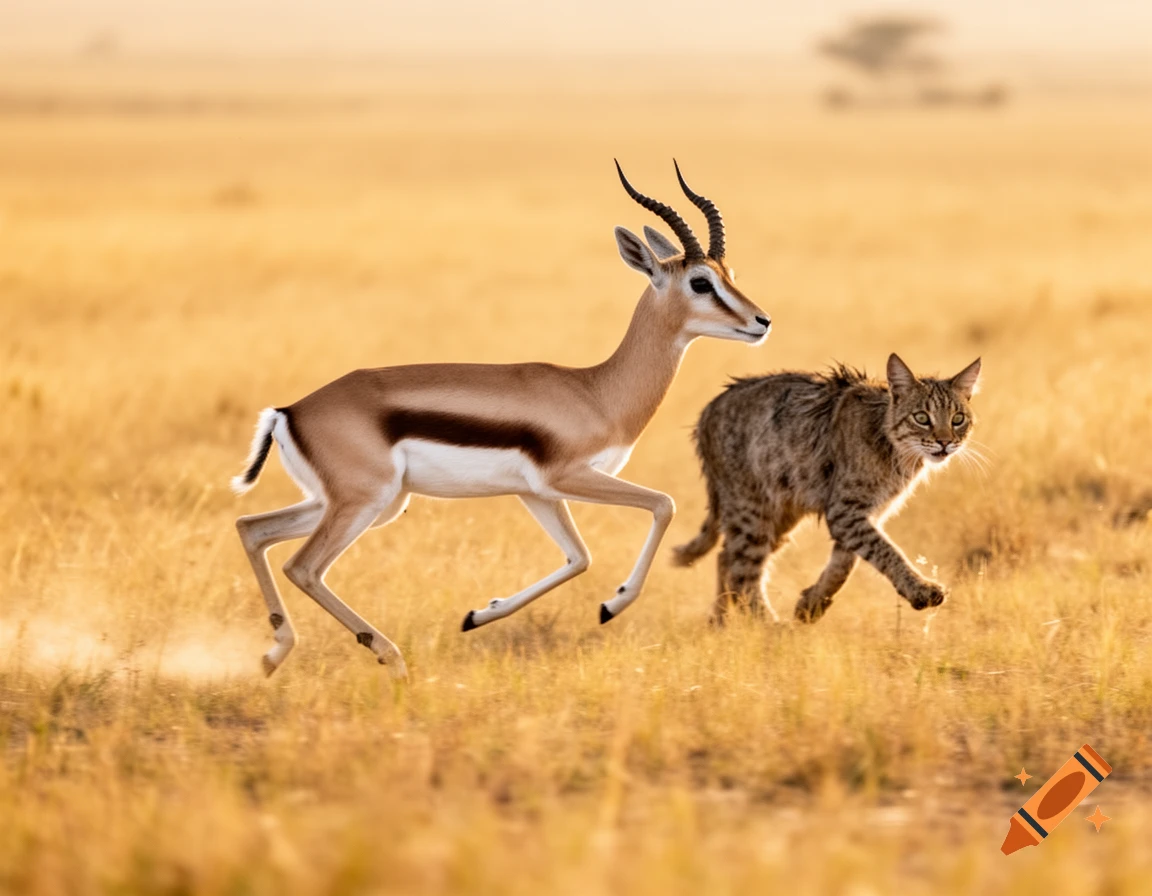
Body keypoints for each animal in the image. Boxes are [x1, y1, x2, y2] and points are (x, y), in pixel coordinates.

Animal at [232, 161, 770, 679]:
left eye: (730, 273)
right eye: (700, 282)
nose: (761, 322)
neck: (595, 392)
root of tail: (289, 411)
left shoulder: (537, 493)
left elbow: (579, 557)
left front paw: (478, 614)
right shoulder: (568, 477)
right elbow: (663, 504)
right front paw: (612, 606)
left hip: (357, 503)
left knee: (252, 528)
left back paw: (274, 654)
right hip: (366, 502)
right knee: (303, 567)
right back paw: (389, 657)